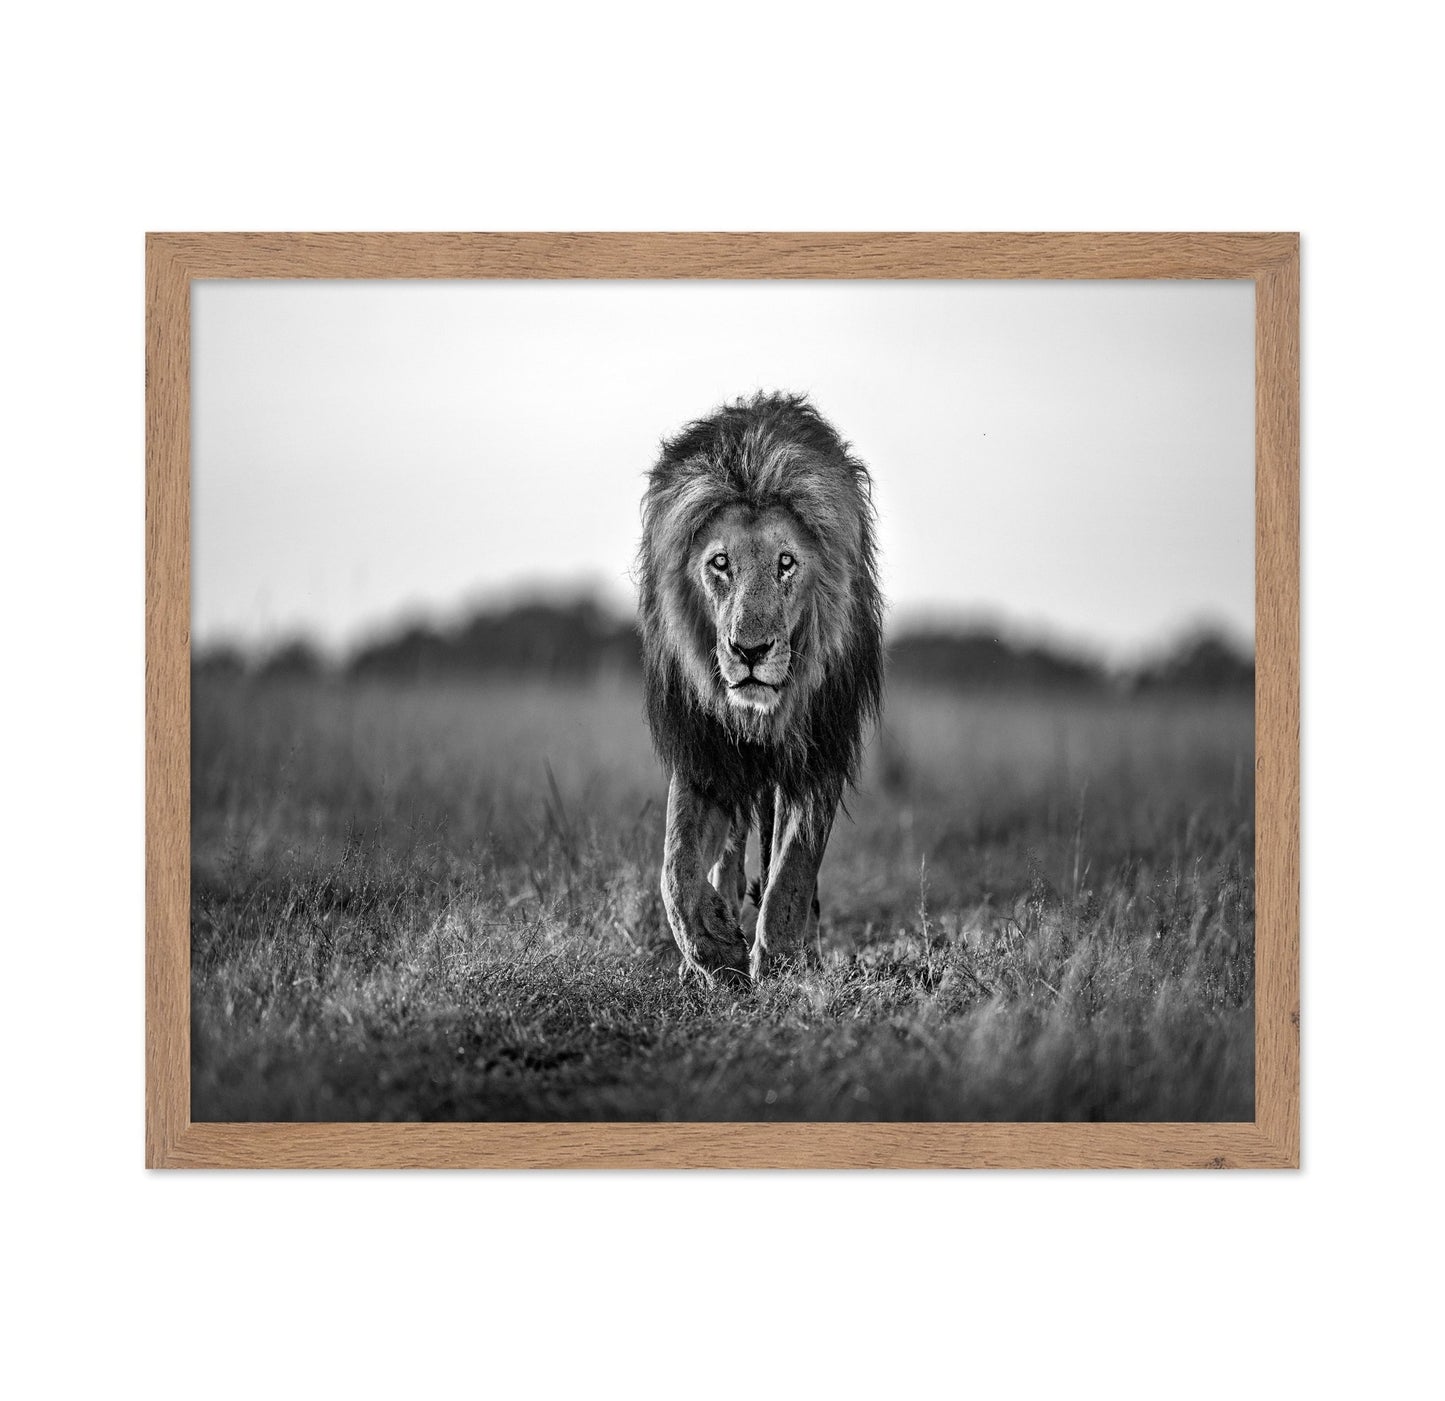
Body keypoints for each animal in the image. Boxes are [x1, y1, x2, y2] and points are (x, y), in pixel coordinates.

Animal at [637, 392, 884, 984]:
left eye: (786, 563)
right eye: (720, 563)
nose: (750, 652)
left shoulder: (819, 747)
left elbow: (793, 868)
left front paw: (780, 960)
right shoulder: (703, 749)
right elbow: (675, 866)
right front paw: (712, 947)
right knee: (727, 852)